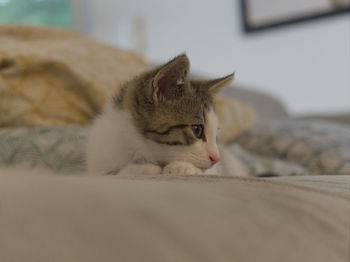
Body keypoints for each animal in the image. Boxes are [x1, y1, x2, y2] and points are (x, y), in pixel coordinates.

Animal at [86, 54, 234, 175]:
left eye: (216, 134)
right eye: (197, 129)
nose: (216, 158)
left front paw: (183, 167)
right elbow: (111, 173)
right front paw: (142, 168)